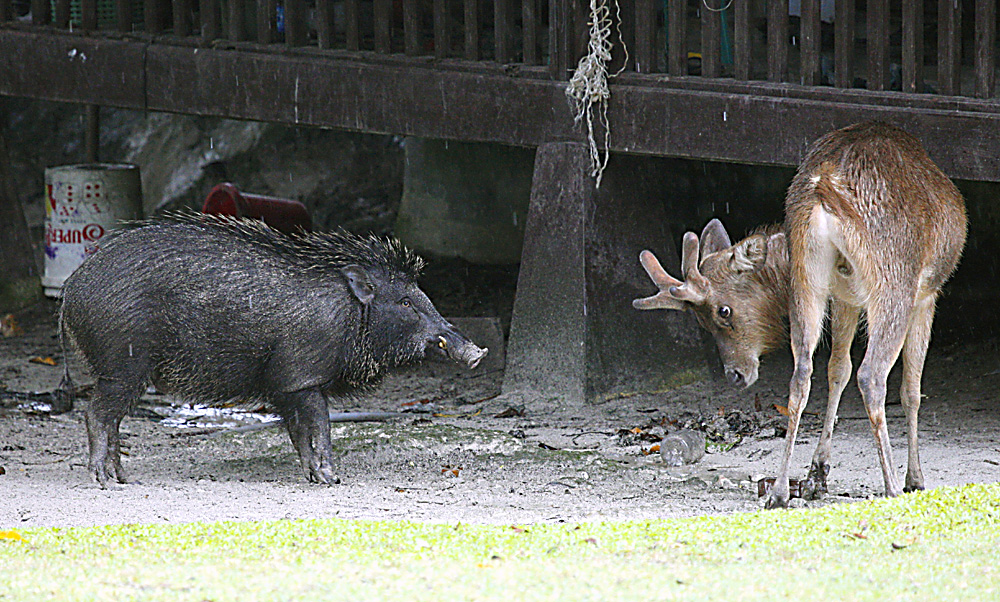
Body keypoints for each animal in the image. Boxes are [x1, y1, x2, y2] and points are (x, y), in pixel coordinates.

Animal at [632, 122, 968, 506]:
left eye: (723, 311)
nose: (734, 375)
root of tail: (825, 187)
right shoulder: (927, 294)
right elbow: (912, 389)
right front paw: (916, 479)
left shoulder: (844, 297)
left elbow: (837, 370)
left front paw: (817, 474)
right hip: (893, 282)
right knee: (872, 375)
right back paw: (892, 486)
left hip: (807, 281)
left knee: (802, 372)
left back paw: (779, 490)